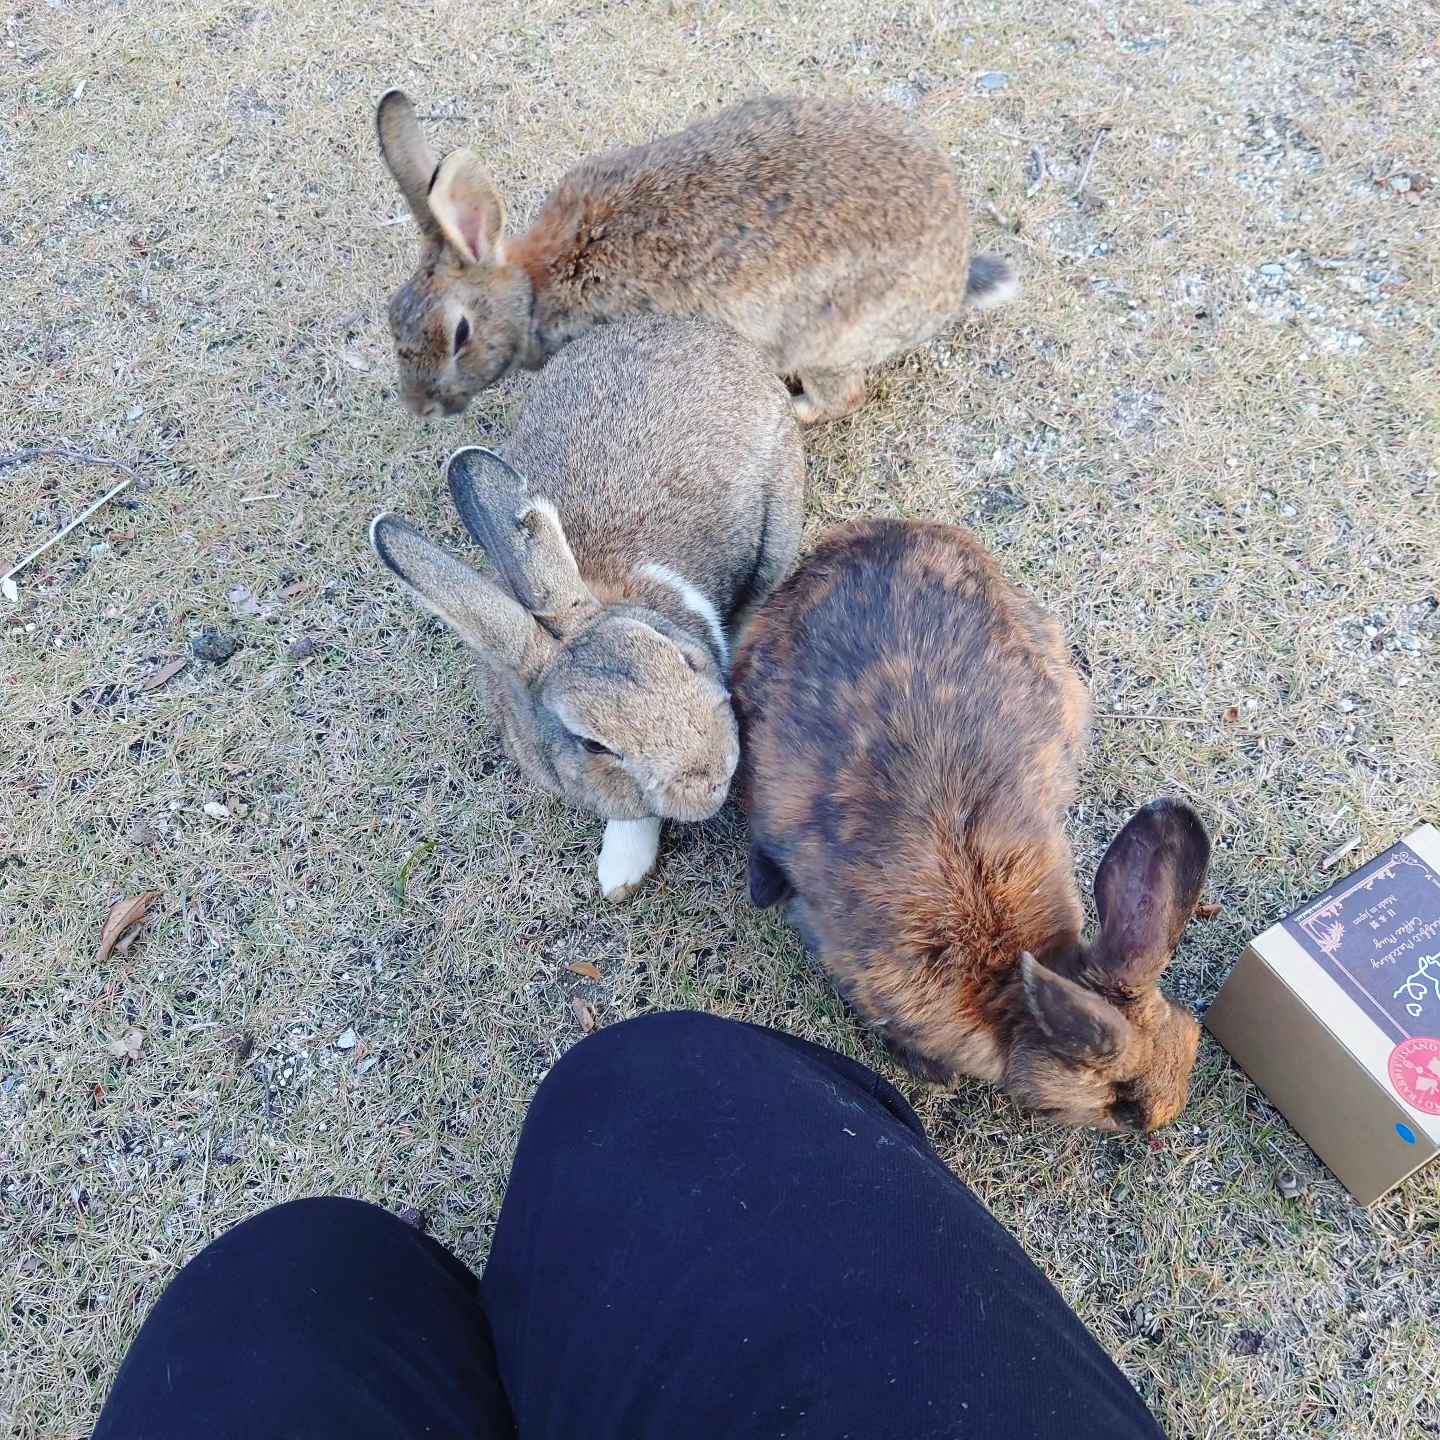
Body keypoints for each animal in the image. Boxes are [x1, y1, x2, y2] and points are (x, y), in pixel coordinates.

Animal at [375, 89, 1018, 424]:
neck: (537, 286)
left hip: (825, 340)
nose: (417, 408)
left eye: (459, 335)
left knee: (841, 396)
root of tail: (953, 278)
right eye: (390, 315)